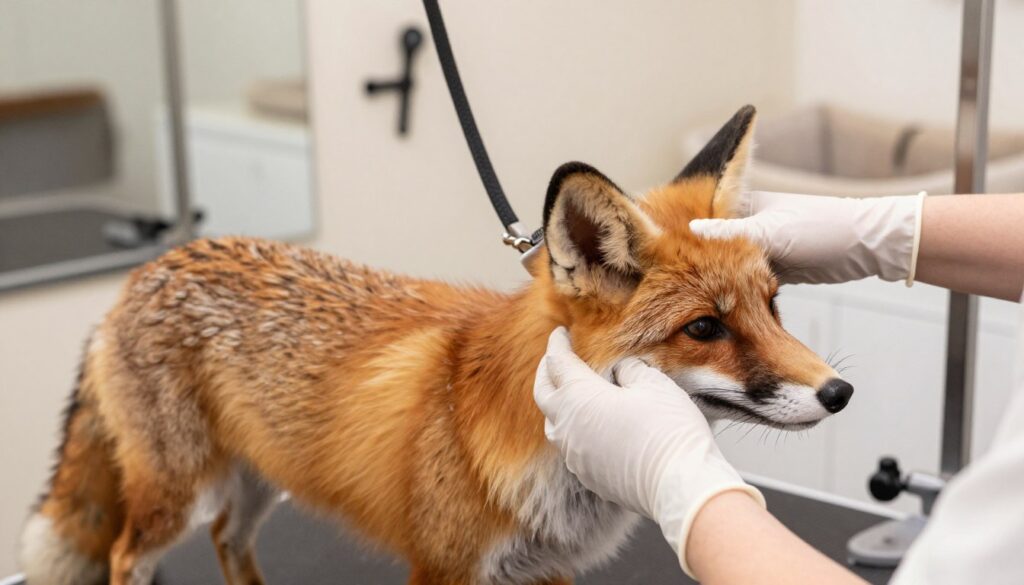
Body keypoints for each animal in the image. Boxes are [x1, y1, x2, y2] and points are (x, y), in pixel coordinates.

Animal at [18, 105, 853, 585]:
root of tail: (143, 273)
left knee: (228, 540)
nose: (840, 391)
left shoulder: (542, 571)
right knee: (125, 554)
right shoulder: (445, 567)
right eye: (705, 327)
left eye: (774, 305)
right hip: (178, 490)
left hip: (257, 479)